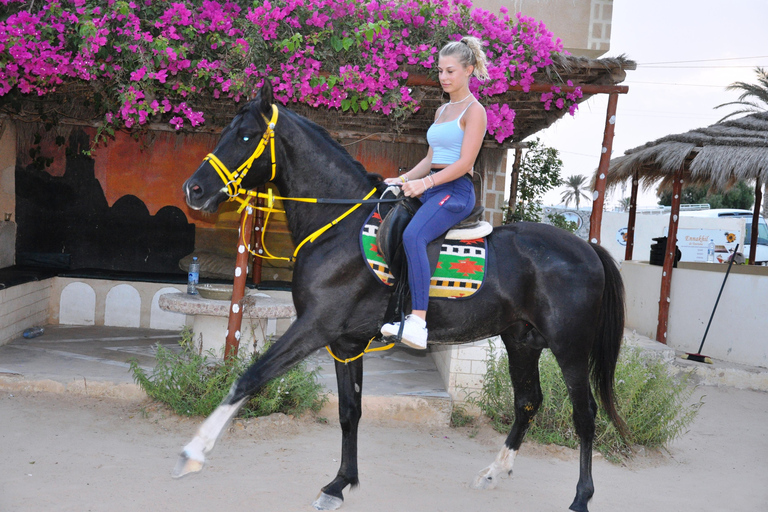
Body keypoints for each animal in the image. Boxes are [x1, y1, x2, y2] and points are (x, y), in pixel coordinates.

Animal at [172, 81, 624, 512]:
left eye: (246, 136)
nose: (193, 190)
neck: (338, 226)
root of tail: (588, 249)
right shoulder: (346, 343)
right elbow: (349, 411)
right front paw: (339, 484)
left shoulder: (315, 327)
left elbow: (250, 377)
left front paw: (194, 451)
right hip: (522, 341)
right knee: (528, 402)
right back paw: (494, 472)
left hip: (569, 348)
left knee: (585, 415)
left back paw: (581, 497)